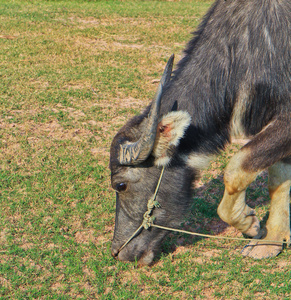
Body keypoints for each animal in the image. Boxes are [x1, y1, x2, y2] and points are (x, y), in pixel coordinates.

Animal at [110, 0, 291, 264]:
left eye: (121, 185)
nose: (117, 252)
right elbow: (278, 180)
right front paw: (270, 241)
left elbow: (235, 169)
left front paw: (249, 224)